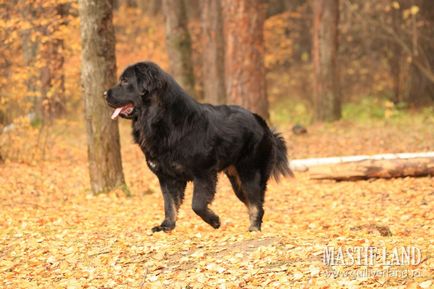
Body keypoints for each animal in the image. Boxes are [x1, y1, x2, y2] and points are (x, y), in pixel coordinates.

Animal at [104, 61, 292, 232]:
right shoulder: (167, 176)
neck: (159, 119)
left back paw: (254, 228)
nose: (104, 93)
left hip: (249, 173)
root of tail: (262, 123)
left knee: (256, 202)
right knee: (253, 202)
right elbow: (169, 203)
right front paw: (166, 226)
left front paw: (214, 220)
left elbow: (197, 205)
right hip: (237, 180)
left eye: (125, 81)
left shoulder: (203, 173)